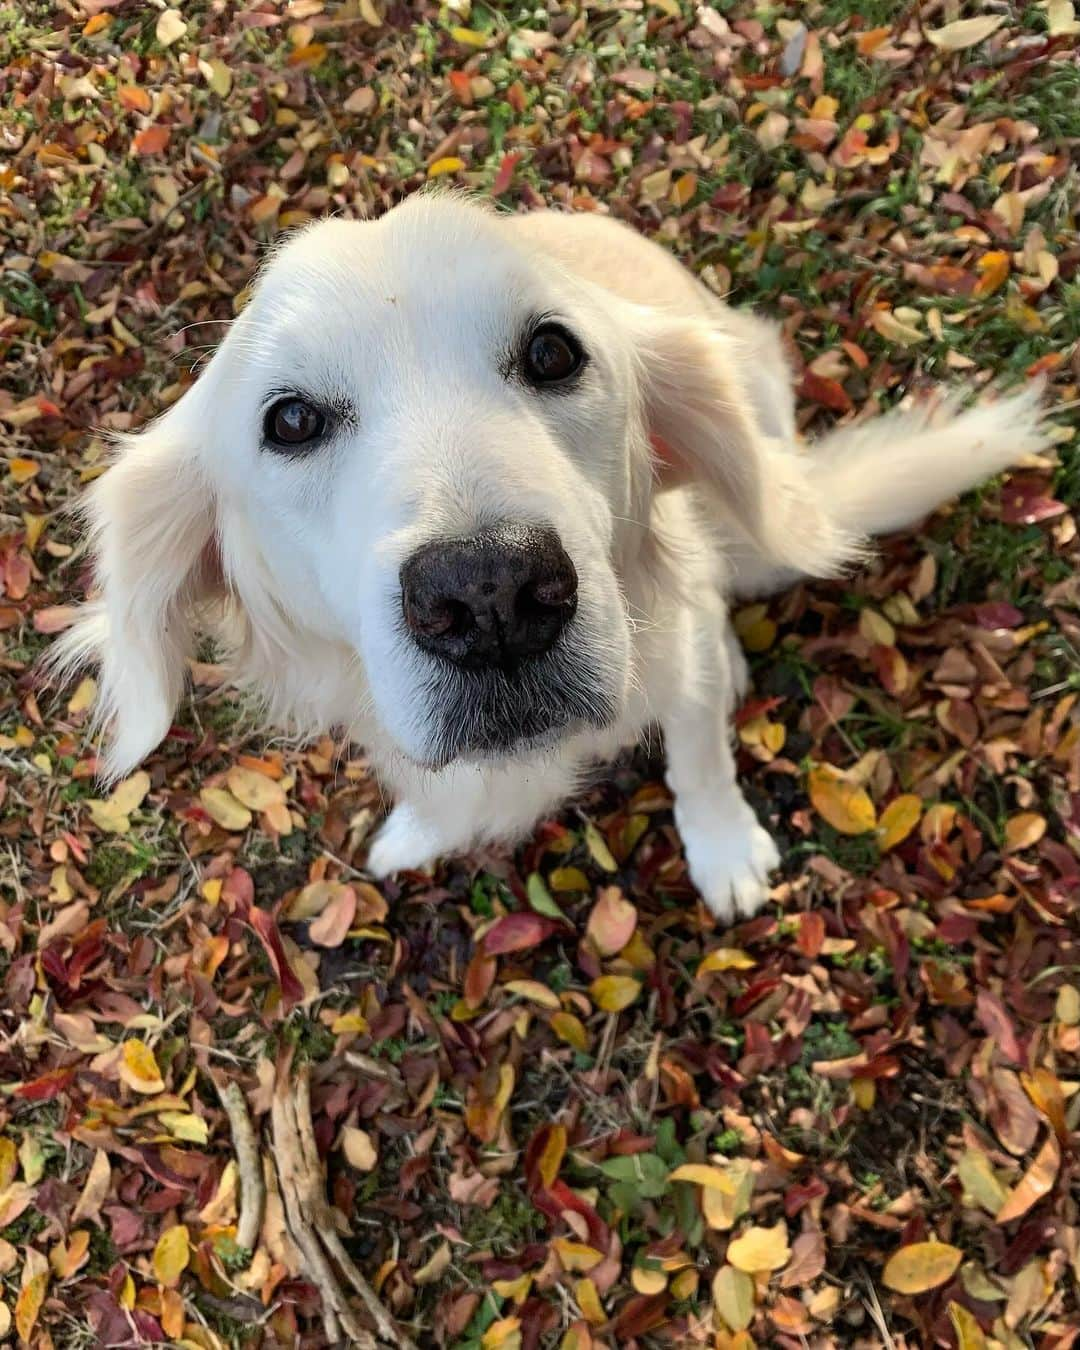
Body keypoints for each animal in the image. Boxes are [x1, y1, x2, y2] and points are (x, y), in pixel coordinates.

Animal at [50, 195, 1047, 923]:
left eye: (552, 351)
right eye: (290, 419)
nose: (489, 594)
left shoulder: (674, 666)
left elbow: (699, 759)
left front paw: (724, 848)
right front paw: (418, 831)